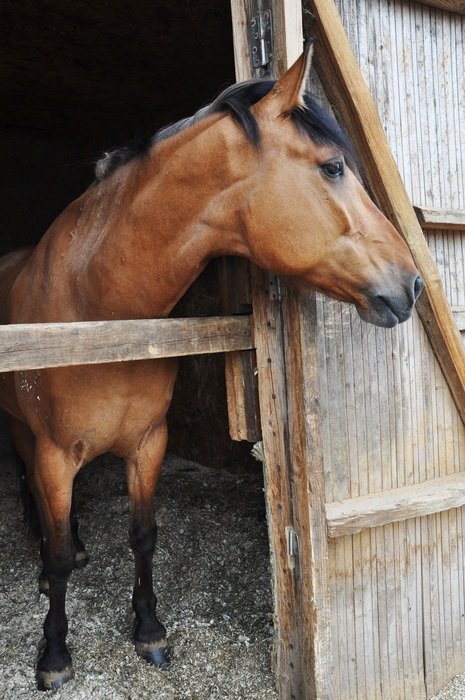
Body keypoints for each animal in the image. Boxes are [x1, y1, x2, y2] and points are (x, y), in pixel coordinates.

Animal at [0, 42, 423, 690]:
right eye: (332, 168)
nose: (413, 285)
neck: (97, 310)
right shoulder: (53, 454)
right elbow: (59, 555)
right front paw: (53, 655)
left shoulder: (149, 442)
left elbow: (143, 537)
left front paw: (149, 631)